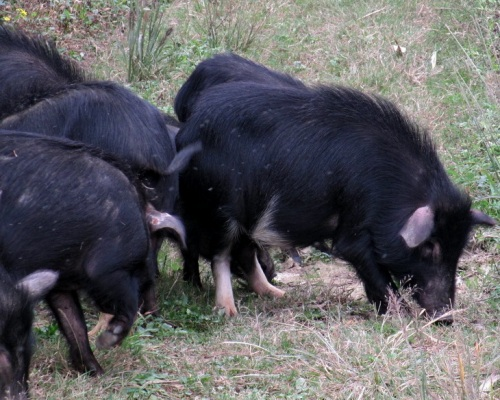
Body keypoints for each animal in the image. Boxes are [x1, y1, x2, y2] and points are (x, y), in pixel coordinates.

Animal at [0, 131, 186, 376]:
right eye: (152, 245)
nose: (150, 278)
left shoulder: (59, 281)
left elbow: (72, 320)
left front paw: (96, 372)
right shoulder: (107, 268)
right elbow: (126, 303)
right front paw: (106, 342)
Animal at [174, 79, 494, 322]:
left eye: (458, 250)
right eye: (430, 247)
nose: (446, 318)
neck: (391, 191)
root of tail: (186, 132)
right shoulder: (354, 223)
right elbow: (368, 266)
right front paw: (400, 316)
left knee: (244, 253)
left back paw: (279, 295)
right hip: (218, 207)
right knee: (221, 255)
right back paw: (229, 312)